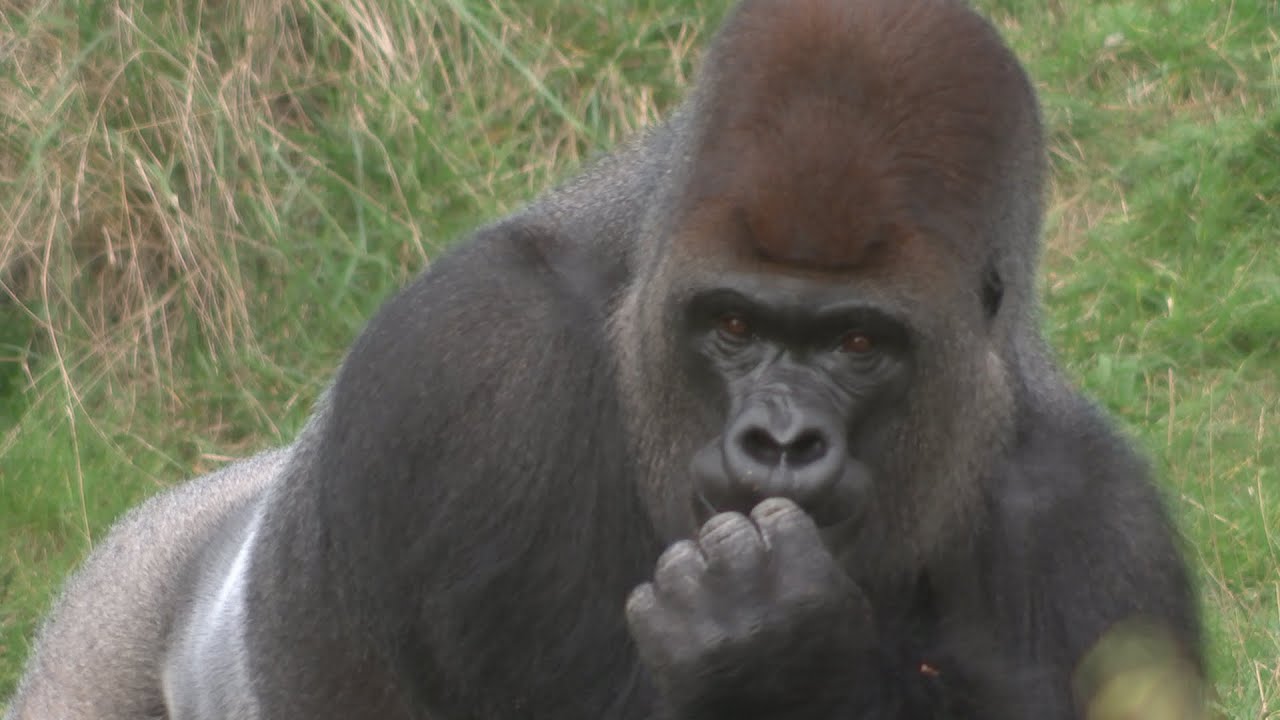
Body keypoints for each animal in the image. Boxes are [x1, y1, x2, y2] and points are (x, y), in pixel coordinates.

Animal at [5, 0, 1205, 718]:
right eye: (732, 328)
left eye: (861, 344)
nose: (778, 440)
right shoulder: (469, 368)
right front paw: (771, 645)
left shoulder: (1102, 536)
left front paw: (779, 650)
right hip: (100, 624)